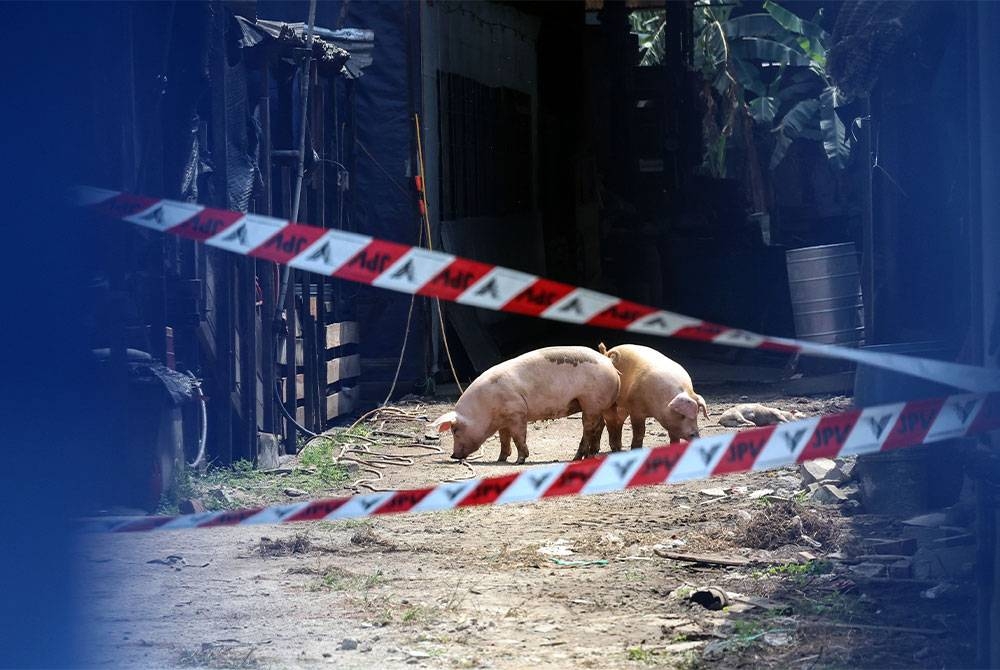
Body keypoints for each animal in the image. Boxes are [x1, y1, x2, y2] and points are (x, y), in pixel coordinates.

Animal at [428, 350, 616, 464]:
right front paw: (500, 459)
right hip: (597, 406)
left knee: (588, 428)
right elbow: (504, 438)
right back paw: (592, 454)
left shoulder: (517, 412)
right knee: (600, 426)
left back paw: (576, 458)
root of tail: (609, 363)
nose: (453, 455)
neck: (484, 409)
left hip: (590, 402)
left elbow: (518, 436)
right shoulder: (503, 420)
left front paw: (519, 460)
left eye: (455, 430)